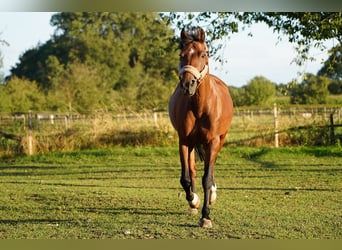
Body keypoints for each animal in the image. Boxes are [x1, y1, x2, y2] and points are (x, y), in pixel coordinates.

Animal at [169, 26, 235, 228]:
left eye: (203, 54)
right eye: (181, 55)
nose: (187, 84)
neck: (199, 107)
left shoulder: (212, 141)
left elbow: (207, 177)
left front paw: (206, 216)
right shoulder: (183, 141)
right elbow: (185, 178)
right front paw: (194, 201)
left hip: (220, 139)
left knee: (210, 169)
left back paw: (212, 194)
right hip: (192, 144)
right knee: (192, 171)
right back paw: (193, 203)